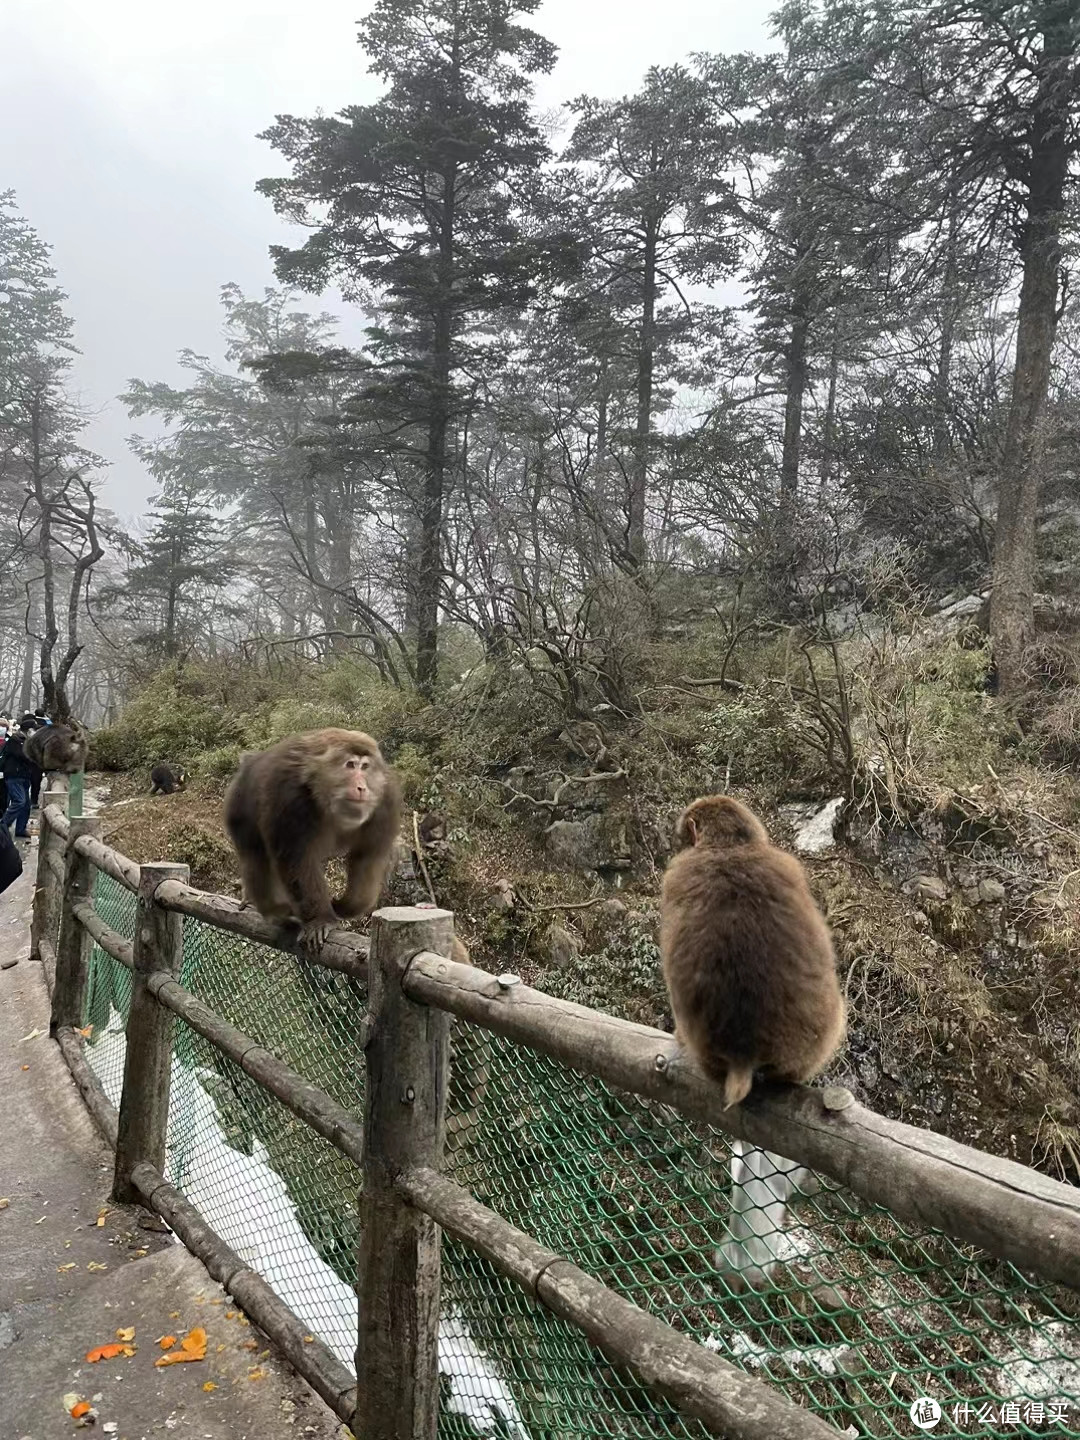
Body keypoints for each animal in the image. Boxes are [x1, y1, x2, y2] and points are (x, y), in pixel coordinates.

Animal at [223, 731, 403, 956]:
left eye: (365, 767)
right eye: (350, 765)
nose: (362, 787)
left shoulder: (385, 803)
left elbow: (368, 857)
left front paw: (344, 906)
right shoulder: (290, 798)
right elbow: (297, 860)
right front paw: (320, 920)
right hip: (238, 803)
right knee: (255, 855)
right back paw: (274, 911)